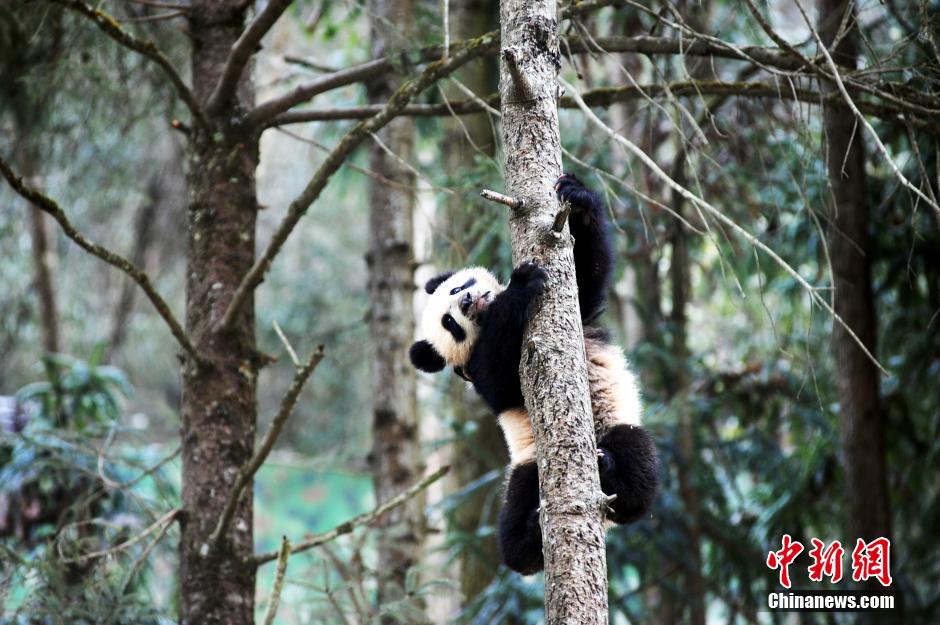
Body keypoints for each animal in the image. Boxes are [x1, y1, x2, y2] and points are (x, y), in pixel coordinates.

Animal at [409, 174, 658, 575]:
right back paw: (530, 531)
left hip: (619, 424)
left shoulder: (581, 316)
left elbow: (588, 278)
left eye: (457, 287)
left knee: (638, 468)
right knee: (512, 534)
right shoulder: (480, 371)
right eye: (449, 323)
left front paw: (577, 197)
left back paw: (609, 471)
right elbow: (500, 378)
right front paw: (521, 286)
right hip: (526, 468)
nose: (466, 301)